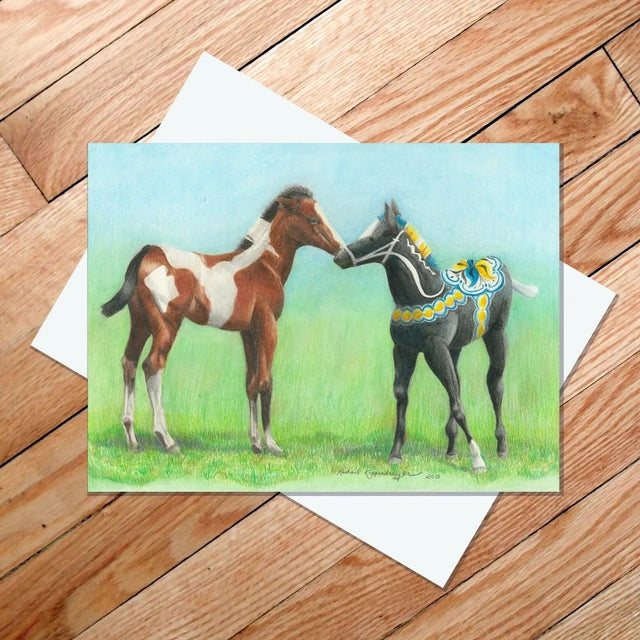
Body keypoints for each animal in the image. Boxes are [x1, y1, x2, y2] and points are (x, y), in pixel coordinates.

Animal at [101, 185, 343, 456]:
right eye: (313, 219)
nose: (341, 252)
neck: (264, 264)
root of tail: (150, 251)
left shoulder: (248, 332)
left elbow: (250, 383)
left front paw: (255, 443)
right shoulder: (268, 327)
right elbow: (266, 381)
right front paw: (272, 445)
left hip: (140, 324)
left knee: (129, 362)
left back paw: (132, 439)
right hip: (166, 327)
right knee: (152, 366)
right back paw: (167, 440)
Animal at [333, 199, 538, 472]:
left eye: (374, 237)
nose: (339, 257)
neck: (420, 295)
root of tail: (499, 265)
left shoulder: (434, 349)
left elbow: (457, 403)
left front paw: (477, 459)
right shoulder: (404, 350)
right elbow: (403, 395)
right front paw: (395, 453)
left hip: (496, 335)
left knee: (495, 384)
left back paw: (501, 447)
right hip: (456, 347)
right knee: (459, 384)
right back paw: (451, 450)